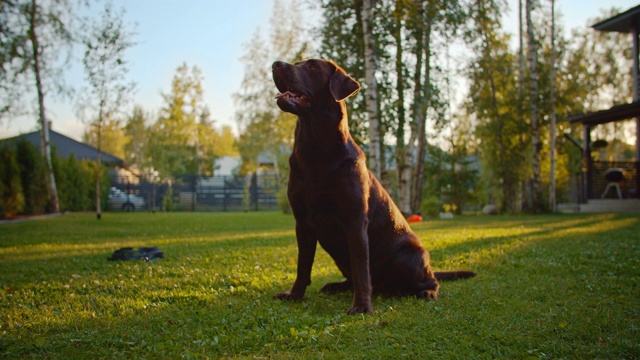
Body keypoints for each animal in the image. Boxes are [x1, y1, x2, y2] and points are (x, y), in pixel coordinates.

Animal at [270, 58, 476, 312]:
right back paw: (336, 286)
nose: (276, 64)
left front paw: (361, 306)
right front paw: (294, 295)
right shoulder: (303, 223)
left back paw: (427, 291)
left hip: (409, 256)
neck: (316, 151)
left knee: (430, 280)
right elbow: (303, 266)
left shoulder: (355, 222)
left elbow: (361, 270)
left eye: (312, 67)